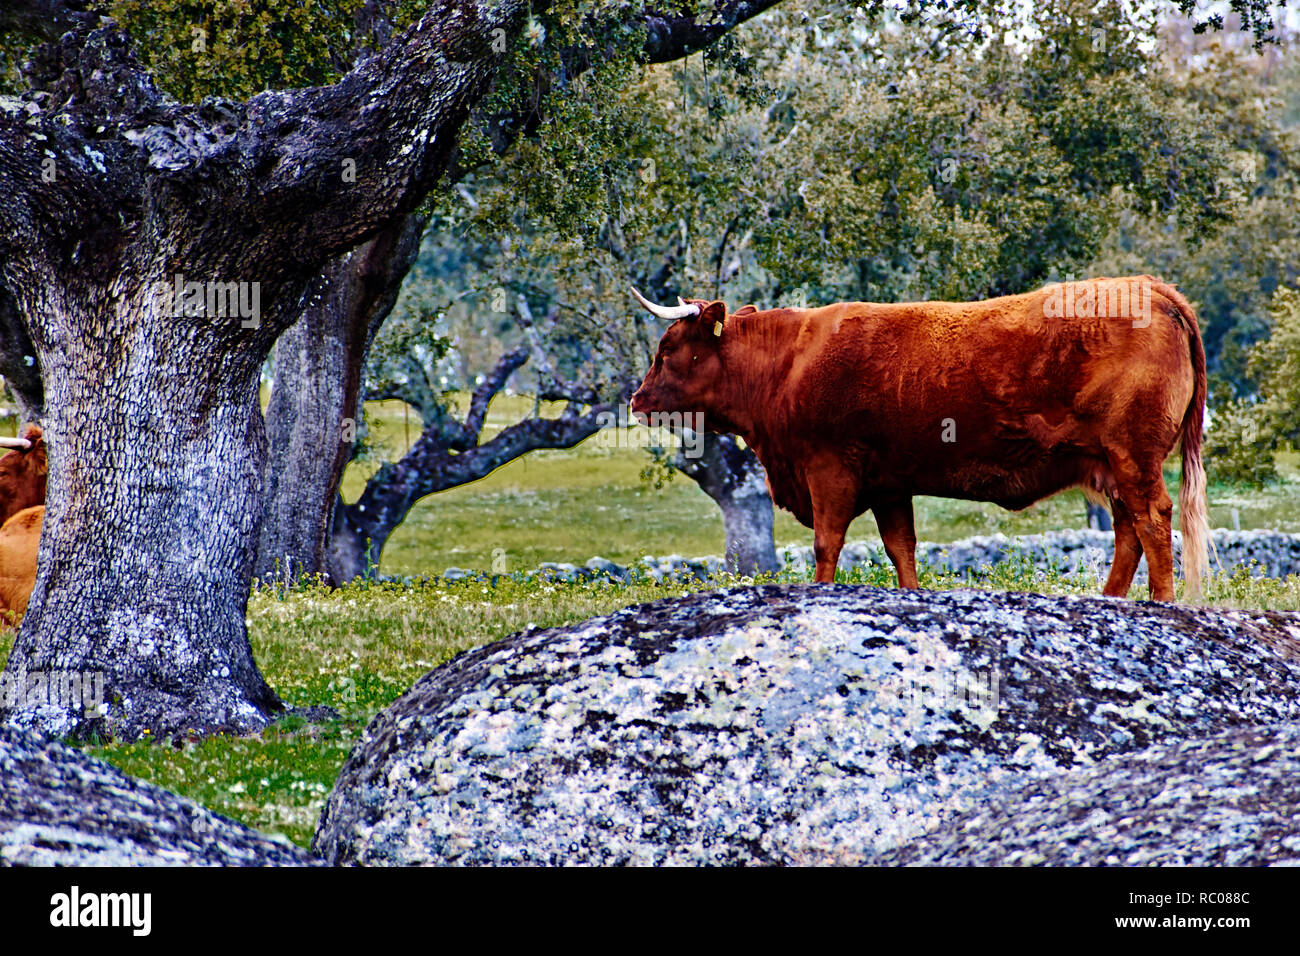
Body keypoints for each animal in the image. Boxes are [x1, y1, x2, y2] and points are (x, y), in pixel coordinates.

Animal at [629, 277, 1206, 600]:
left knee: (1152, 520)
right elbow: (900, 548)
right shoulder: (889, 483)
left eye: (668, 348)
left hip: (1132, 457)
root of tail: (1151, 287)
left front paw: (821, 592)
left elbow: (827, 543)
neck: (789, 363)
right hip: (1111, 464)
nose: (636, 400)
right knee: (1128, 530)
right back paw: (1113, 600)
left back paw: (1162, 600)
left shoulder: (829, 468)